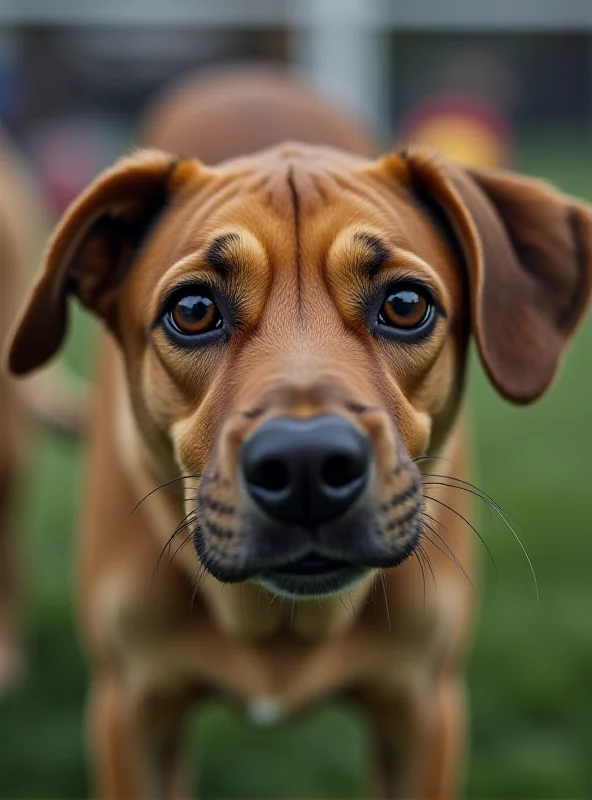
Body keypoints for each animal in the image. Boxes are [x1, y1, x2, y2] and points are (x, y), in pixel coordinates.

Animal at [5, 70, 592, 800]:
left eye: (406, 305)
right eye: (192, 310)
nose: (307, 467)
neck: (281, 628)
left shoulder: (424, 709)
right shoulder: (131, 710)